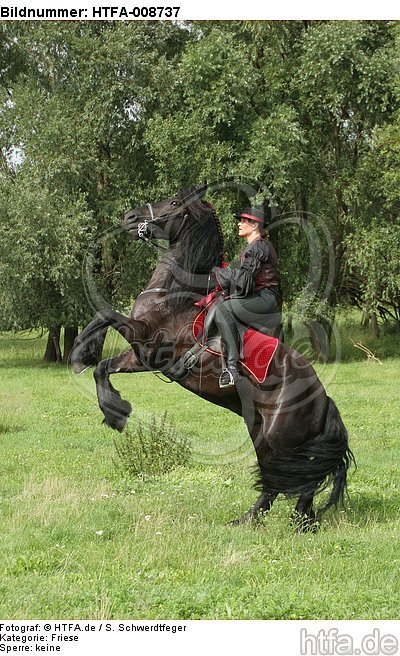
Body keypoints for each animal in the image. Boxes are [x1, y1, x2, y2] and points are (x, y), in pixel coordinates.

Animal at [70, 185, 354, 530]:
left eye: (174, 202)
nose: (130, 217)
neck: (172, 294)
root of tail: (322, 398)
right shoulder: (141, 357)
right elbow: (102, 365)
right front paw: (115, 410)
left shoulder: (150, 345)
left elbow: (106, 314)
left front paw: (82, 355)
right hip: (260, 432)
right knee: (282, 478)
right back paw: (256, 520)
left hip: (281, 436)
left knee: (298, 478)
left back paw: (296, 521)